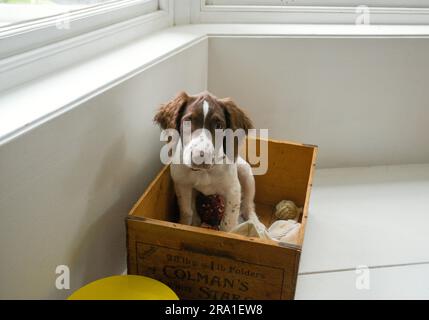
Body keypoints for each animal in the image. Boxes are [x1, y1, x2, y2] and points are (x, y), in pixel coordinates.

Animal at [154, 91, 256, 231]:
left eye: (218, 126)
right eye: (188, 121)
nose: (200, 156)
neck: (203, 172)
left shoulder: (233, 190)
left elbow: (228, 224)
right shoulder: (182, 184)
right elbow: (187, 211)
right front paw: (184, 224)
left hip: (245, 172)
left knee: (248, 204)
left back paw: (257, 225)